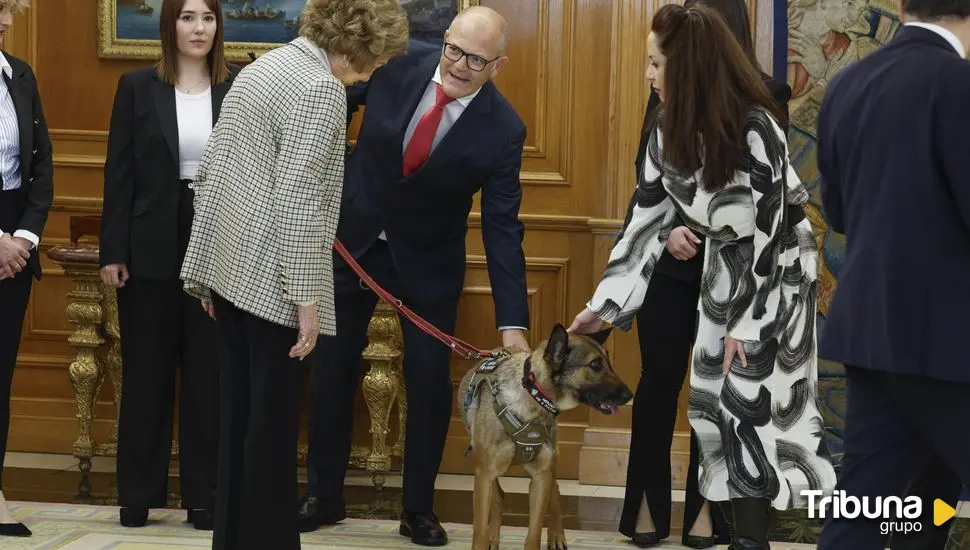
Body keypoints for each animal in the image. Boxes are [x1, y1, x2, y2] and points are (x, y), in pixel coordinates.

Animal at [456, 326, 632, 548]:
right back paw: (493, 538)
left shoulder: (540, 476)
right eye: (594, 365)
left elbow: (534, 532)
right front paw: (486, 539)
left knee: (554, 493)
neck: (532, 399)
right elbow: (479, 530)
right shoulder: (484, 474)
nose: (630, 396)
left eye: (608, 363)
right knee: (498, 498)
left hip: (549, 467)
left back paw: (557, 535)